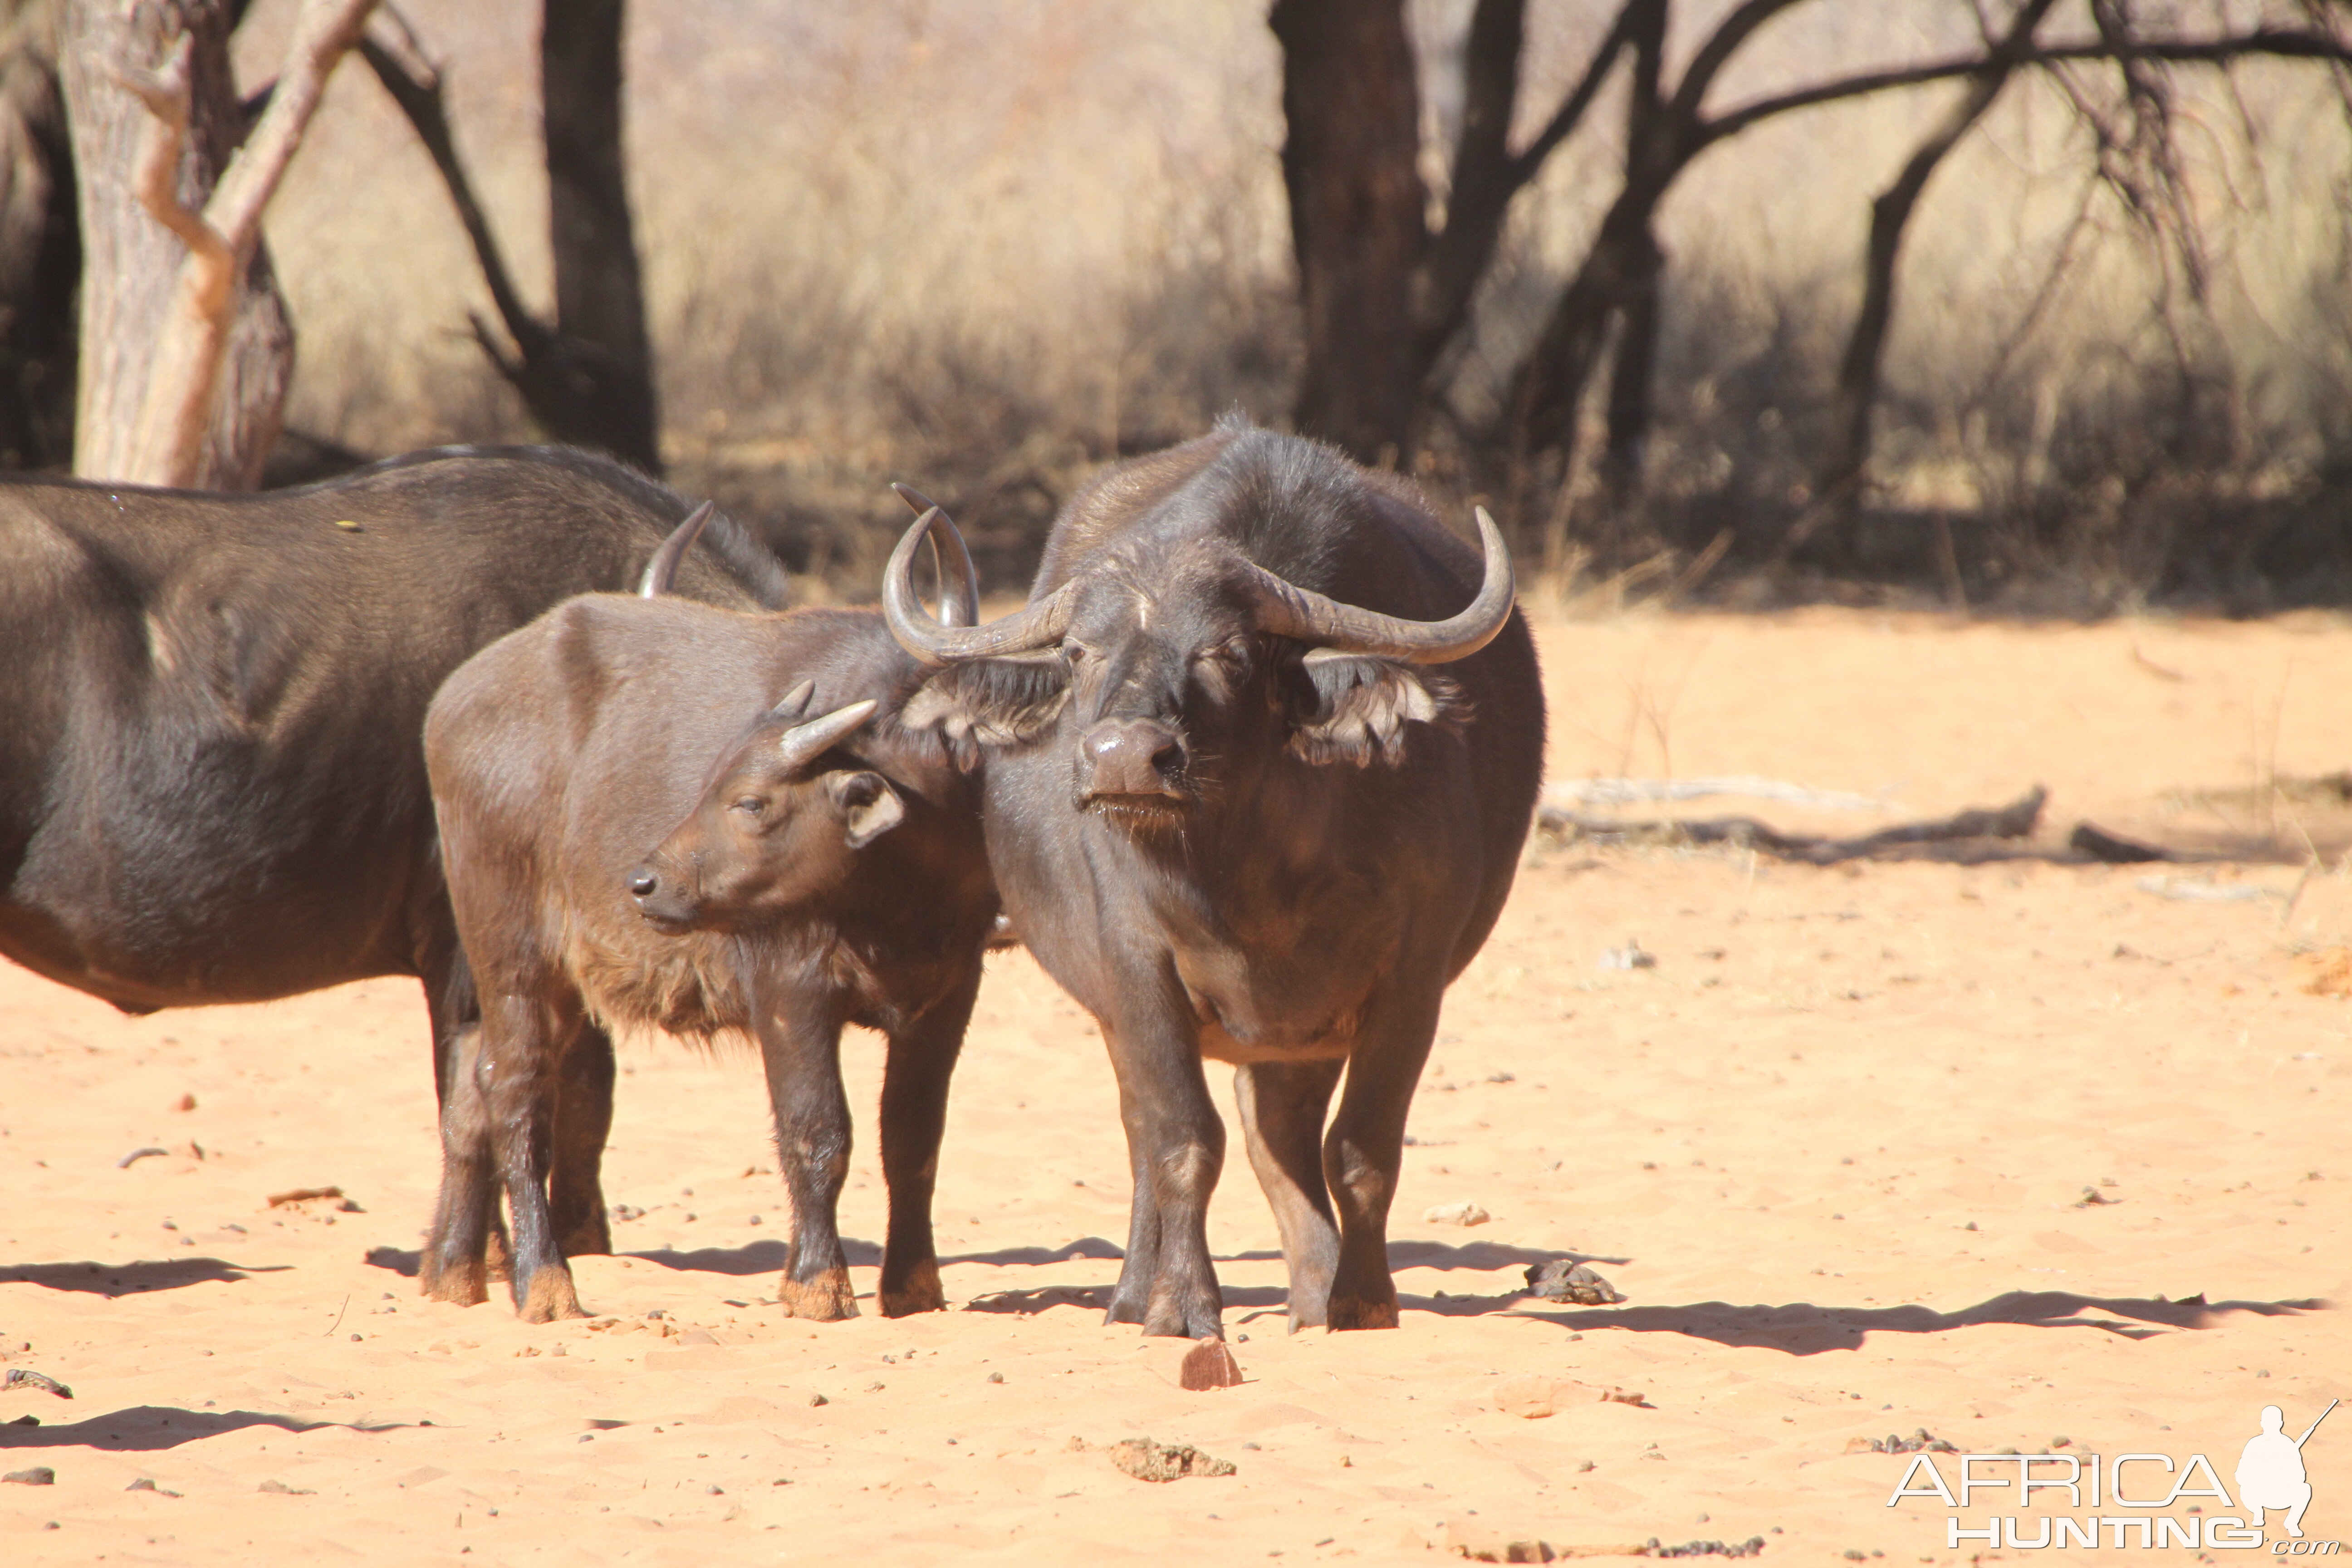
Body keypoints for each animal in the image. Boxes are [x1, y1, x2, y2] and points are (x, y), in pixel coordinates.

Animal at [423, 557, 992, 1316]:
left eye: (749, 802)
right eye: (712, 787)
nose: (645, 883)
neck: (895, 900)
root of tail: (449, 705)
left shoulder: (948, 997)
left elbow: (913, 1142)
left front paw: (913, 1285)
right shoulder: (791, 989)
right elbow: (817, 1134)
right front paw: (819, 1282)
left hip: (559, 984)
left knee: (468, 1087)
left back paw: (456, 1272)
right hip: (513, 959)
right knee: (515, 1097)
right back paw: (544, 1282)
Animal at [884, 425, 1543, 1335]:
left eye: (1226, 652)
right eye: (1079, 652)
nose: (1125, 758)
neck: (1251, 871)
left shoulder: (1411, 979)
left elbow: (1362, 1148)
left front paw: (1364, 1300)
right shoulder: (1136, 964)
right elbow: (1179, 1141)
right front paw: (1182, 1304)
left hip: (1300, 1036)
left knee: (1282, 1135)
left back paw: (1316, 1291)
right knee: (1150, 1132)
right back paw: (1134, 1293)